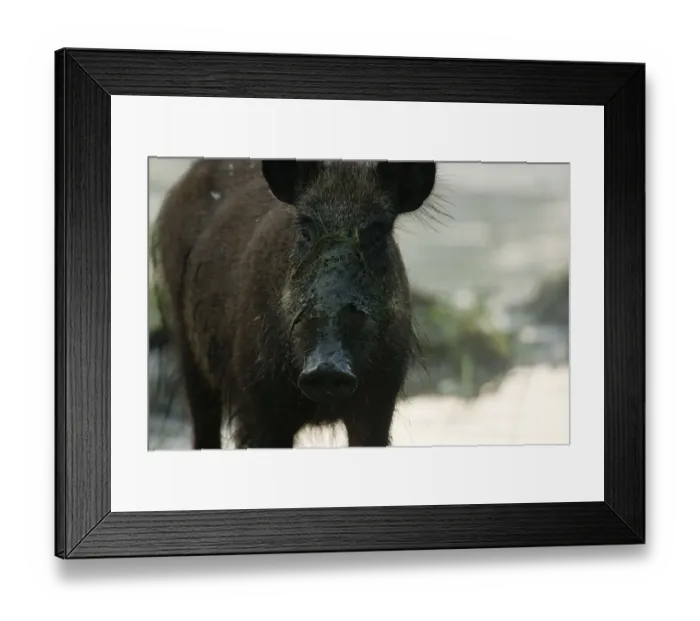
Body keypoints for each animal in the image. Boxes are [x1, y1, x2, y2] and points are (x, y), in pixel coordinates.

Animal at [153, 158, 437, 449]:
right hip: (187, 348)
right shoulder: (257, 403)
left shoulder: (380, 400)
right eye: (305, 231)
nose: (327, 368)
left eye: (378, 234)